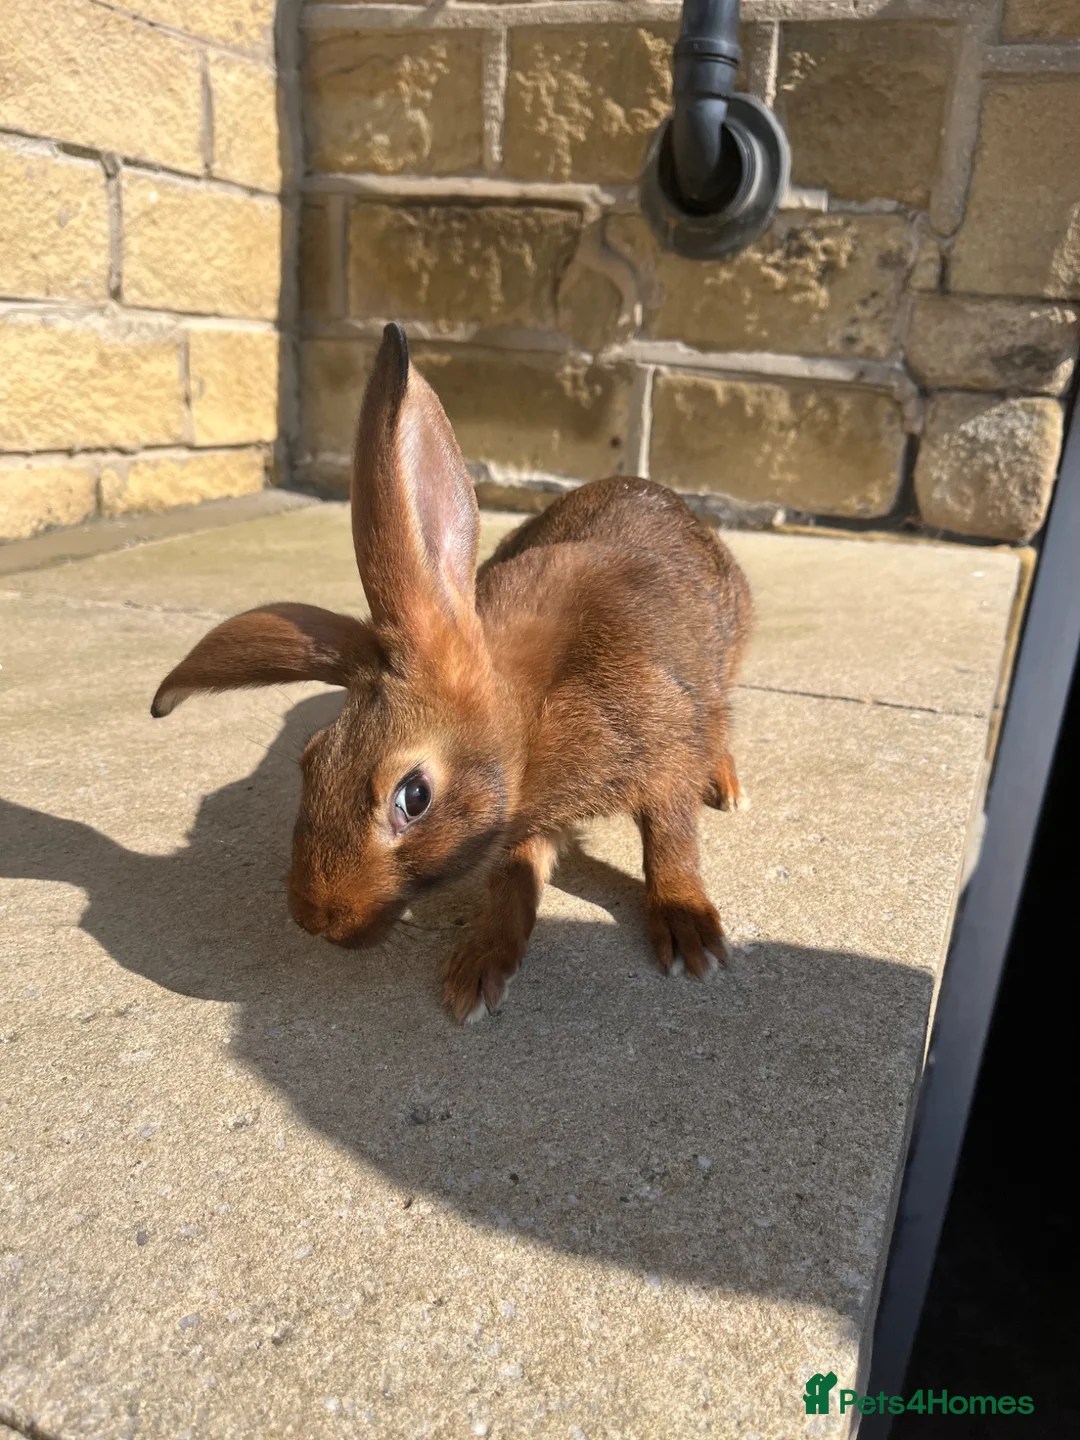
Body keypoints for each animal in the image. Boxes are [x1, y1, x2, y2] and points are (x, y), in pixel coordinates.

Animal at [151, 323, 752, 1022]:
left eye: (414, 796)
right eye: (310, 759)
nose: (315, 919)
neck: (532, 713)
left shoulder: (659, 747)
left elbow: (670, 839)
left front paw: (690, 935)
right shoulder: (523, 821)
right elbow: (514, 880)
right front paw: (478, 969)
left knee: (718, 725)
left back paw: (725, 785)